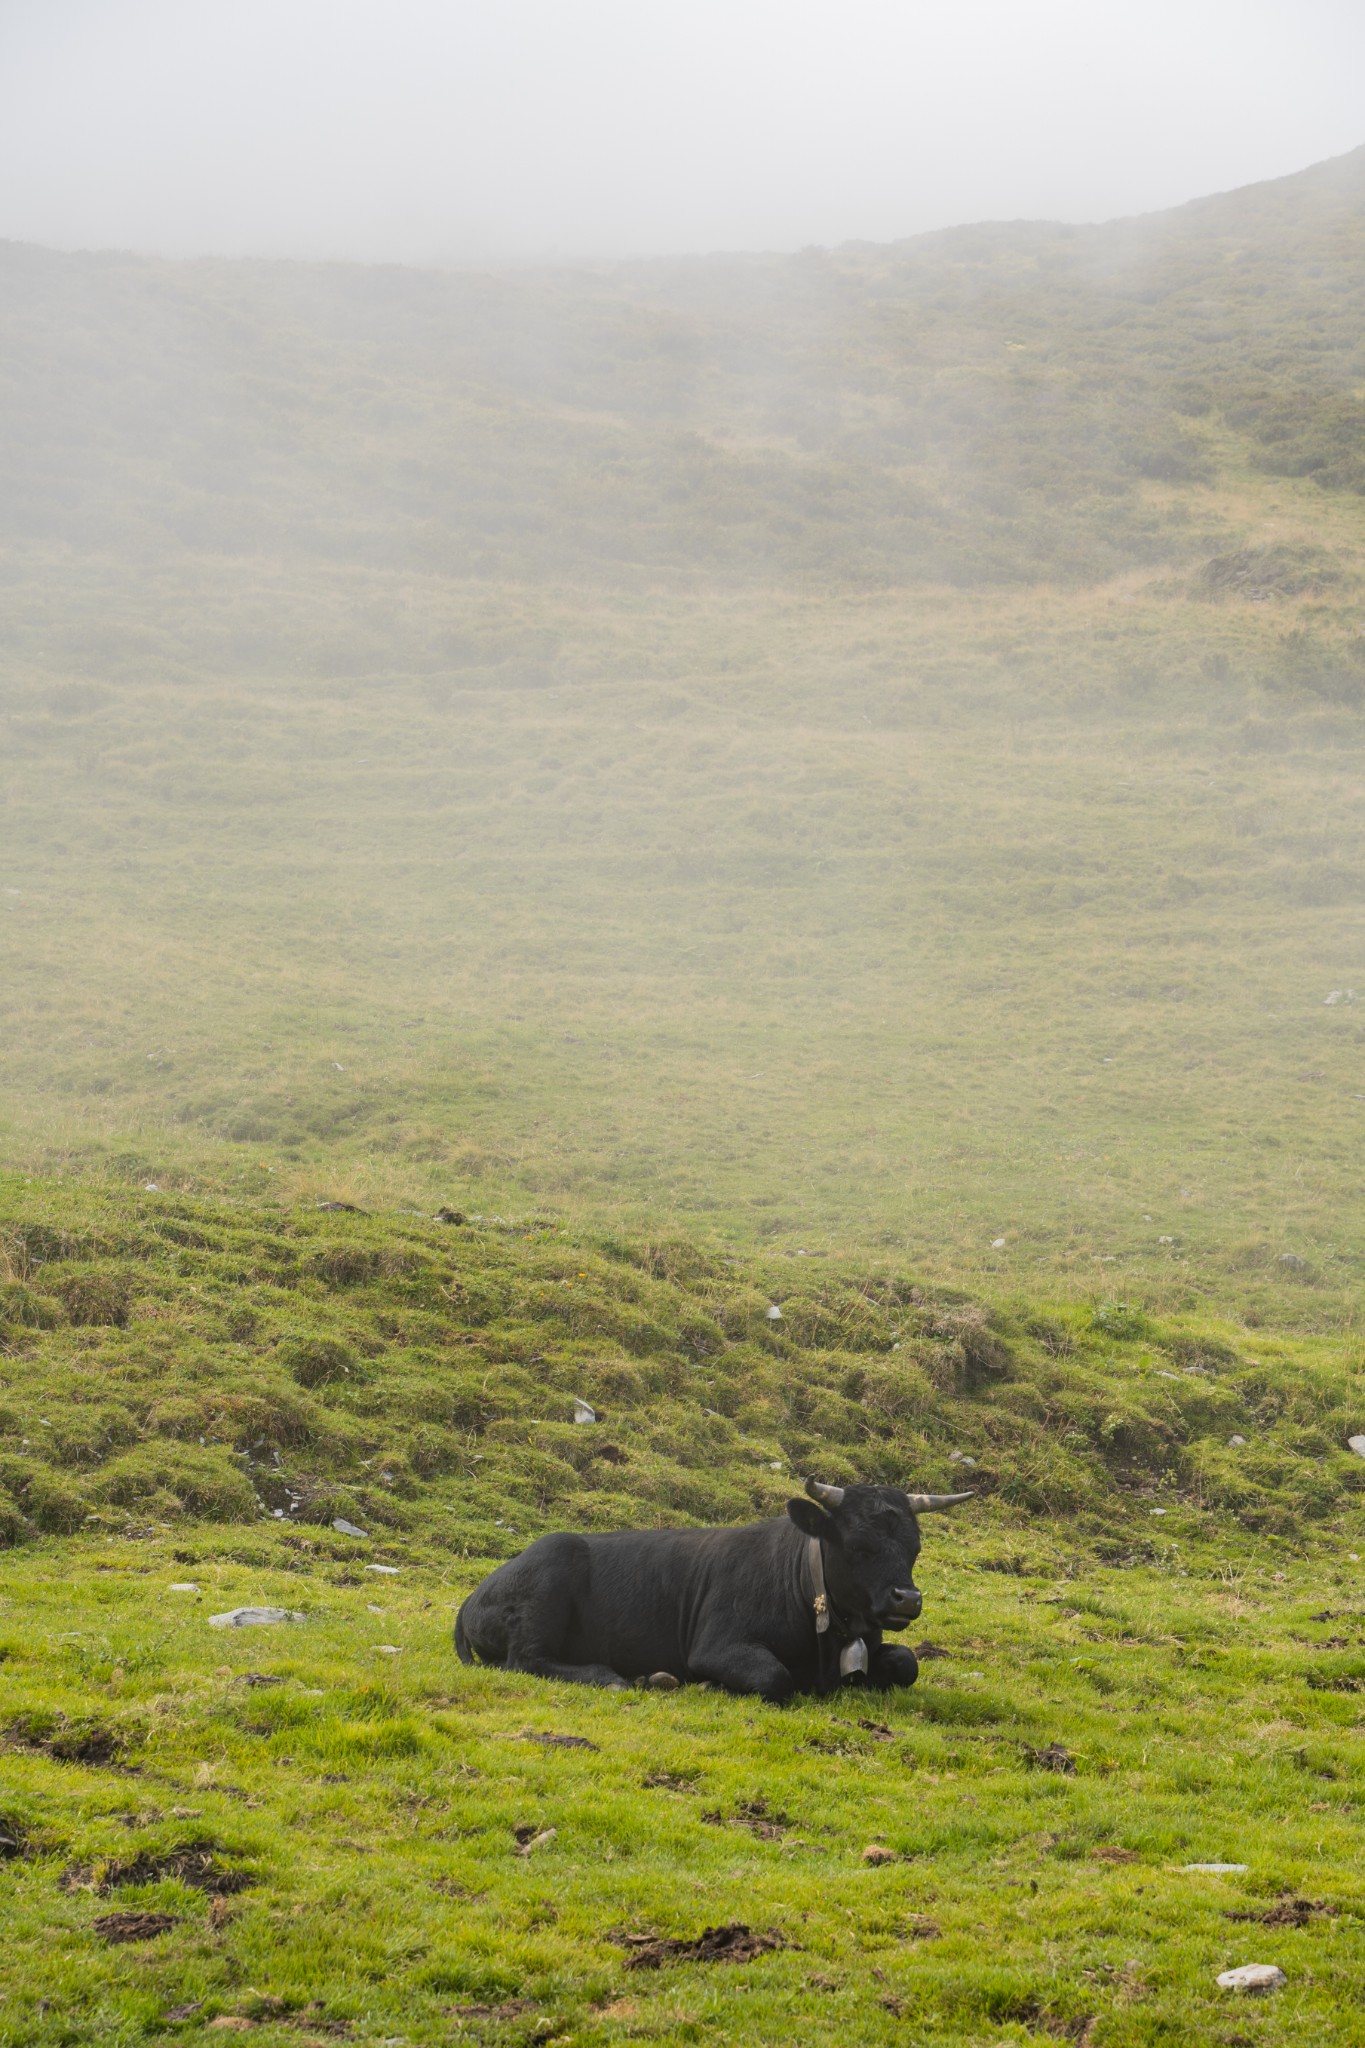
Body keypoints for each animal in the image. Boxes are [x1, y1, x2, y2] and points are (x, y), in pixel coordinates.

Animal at [454, 1482, 965, 1703]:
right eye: (859, 1545)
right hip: (549, 1573)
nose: (908, 1599)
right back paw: (616, 1677)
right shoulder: (717, 1645)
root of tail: (472, 1598)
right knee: (526, 1661)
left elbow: (907, 1662)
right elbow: (774, 1677)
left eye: (915, 1547)